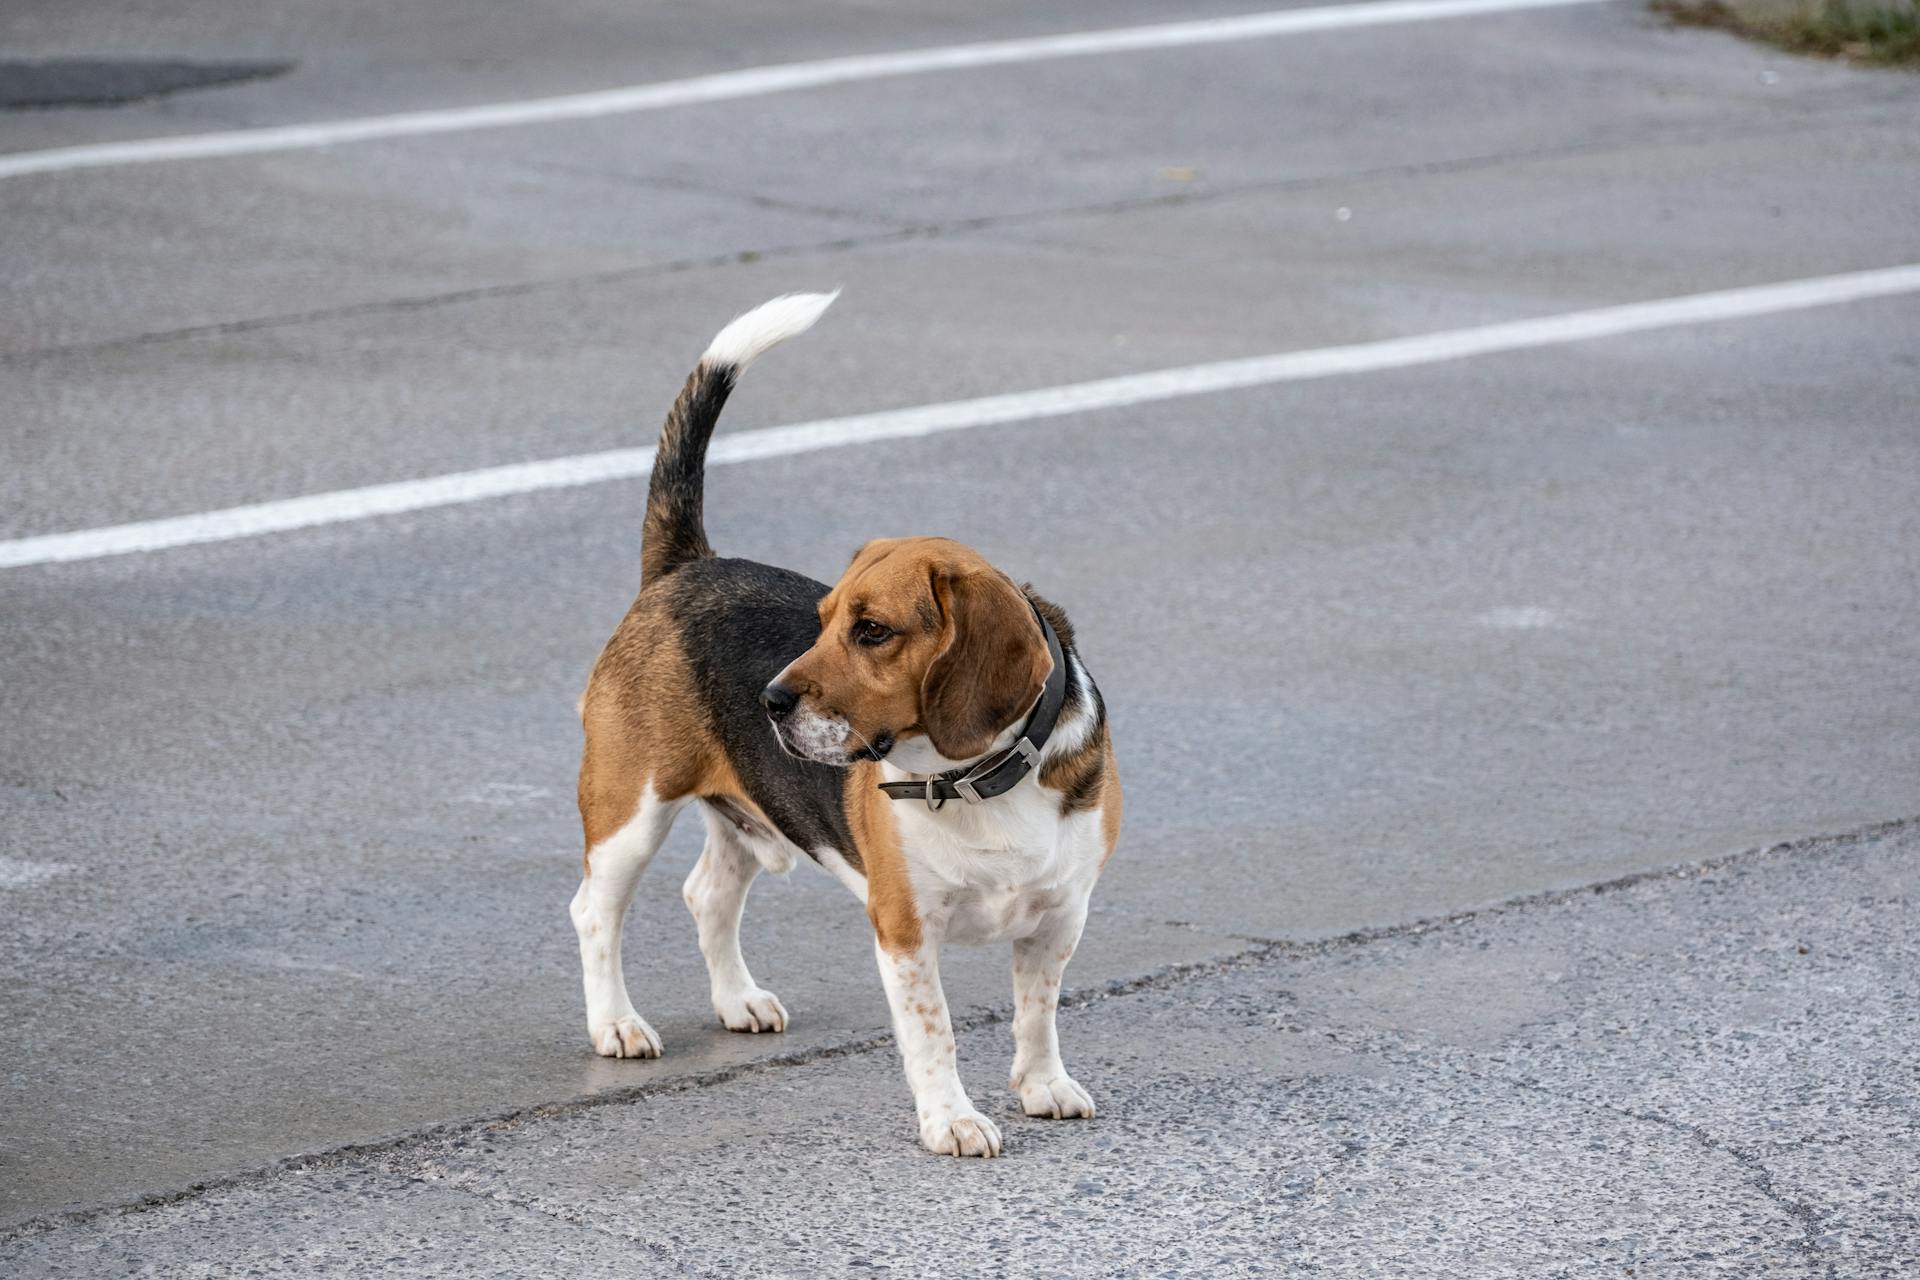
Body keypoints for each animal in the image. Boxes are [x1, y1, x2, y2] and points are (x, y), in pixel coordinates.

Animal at [560, 295, 1121, 1159]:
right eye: (821, 621)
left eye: (872, 631)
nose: (769, 700)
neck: (978, 780)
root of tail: (686, 566)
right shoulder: (905, 930)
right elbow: (936, 1033)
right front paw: (953, 1120)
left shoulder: (1060, 916)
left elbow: (1038, 1012)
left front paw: (1043, 1086)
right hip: (630, 810)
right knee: (595, 913)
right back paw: (616, 1024)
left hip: (747, 809)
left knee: (707, 895)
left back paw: (739, 999)